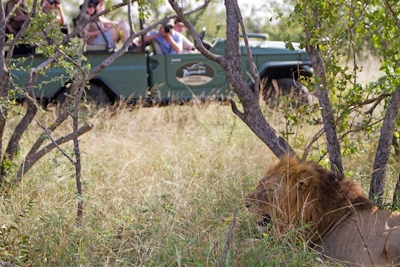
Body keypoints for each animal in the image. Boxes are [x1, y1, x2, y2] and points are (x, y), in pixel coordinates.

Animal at [244, 154, 400, 266]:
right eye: (259, 184)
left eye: (268, 190)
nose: (245, 203)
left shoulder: (299, 249)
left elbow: (253, 244)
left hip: (392, 235)